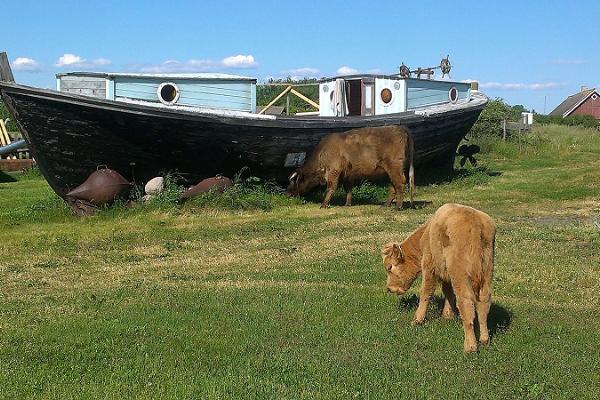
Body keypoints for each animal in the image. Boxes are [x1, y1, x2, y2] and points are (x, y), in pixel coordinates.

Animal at [382, 203, 494, 354]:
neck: (426, 234)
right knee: (484, 301)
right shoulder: (446, 275)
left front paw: (417, 320)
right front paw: (447, 315)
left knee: (465, 302)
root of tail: (474, 221)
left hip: (461, 275)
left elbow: (426, 292)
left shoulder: (430, 266)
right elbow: (448, 292)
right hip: (487, 272)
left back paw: (470, 346)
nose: (389, 288)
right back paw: (484, 339)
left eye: (389, 267)